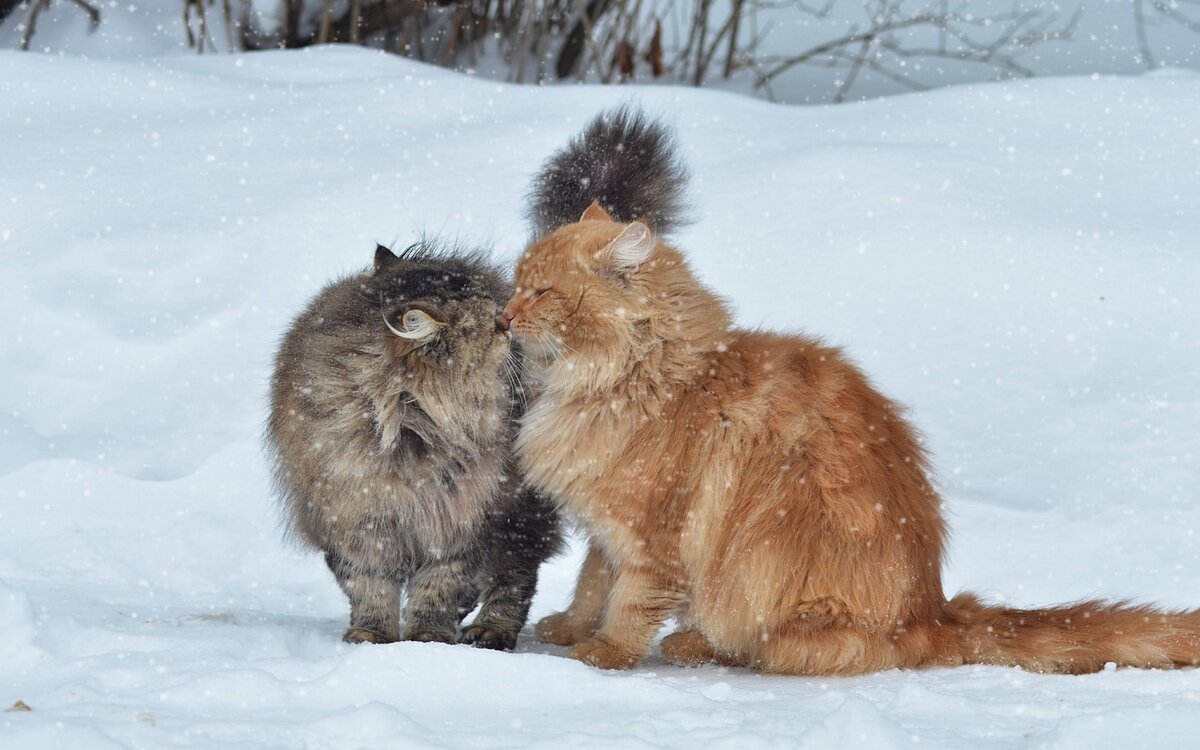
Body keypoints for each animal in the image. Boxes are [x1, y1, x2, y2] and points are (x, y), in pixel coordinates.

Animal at [267, 241, 561, 648]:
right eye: (490, 325)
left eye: (499, 319)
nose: (507, 322)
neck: (407, 432)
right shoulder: (353, 519)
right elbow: (369, 587)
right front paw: (372, 634)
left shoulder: (459, 520)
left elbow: (439, 586)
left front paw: (427, 638)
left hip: (519, 515)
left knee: (513, 577)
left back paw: (490, 631)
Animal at [504, 106, 1200, 672]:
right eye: (515, 284)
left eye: (542, 292)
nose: (504, 318)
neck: (630, 380)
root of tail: (935, 612)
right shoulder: (606, 532)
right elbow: (591, 586)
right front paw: (568, 630)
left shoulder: (651, 536)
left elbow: (628, 605)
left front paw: (603, 654)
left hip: (769, 595)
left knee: (770, 648)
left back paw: (692, 644)